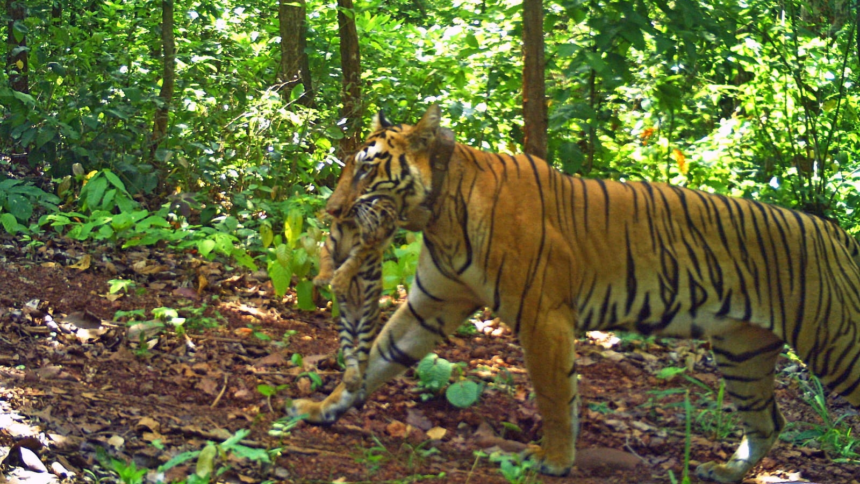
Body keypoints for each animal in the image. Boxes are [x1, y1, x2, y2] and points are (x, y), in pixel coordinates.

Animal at [290, 105, 860, 483]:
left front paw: (554, 461)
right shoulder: (431, 303)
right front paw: (324, 407)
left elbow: (555, 395)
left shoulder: (542, 316)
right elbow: (381, 355)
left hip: (835, 343)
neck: (440, 212)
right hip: (742, 351)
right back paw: (722, 471)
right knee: (768, 421)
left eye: (367, 167)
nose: (331, 213)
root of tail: (838, 233)